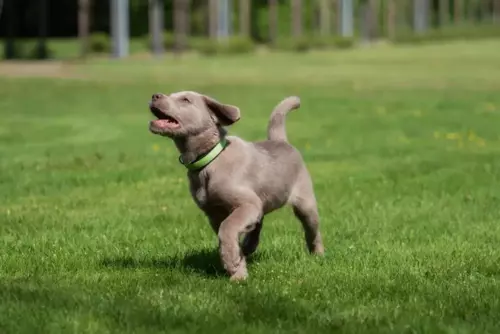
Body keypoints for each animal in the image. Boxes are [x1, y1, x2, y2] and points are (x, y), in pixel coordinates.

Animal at [147, 90, 324, 280]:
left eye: (185, 100)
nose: (155, 95)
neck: (210, 159)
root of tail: (282, 141)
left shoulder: (246, 204)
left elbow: (228, 228)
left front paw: (233, 264)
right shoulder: (214, 213)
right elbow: (226, 234)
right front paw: (238, 271)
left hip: (305, 204)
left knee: (312, 231)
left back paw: (318, 254)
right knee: (258, 222)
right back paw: (248, 246)